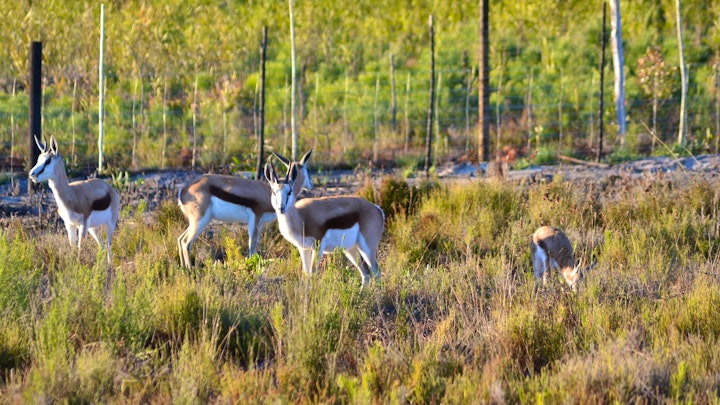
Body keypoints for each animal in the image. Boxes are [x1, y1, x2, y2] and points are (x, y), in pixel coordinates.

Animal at [28, 135, 120, 265]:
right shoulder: (69, 224)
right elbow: (72, 247)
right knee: (102, 245)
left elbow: (79, 248)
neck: (71, 195)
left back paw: (109, 266)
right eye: (38, 159)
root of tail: (111, 189)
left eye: (48, 161)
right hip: (93, 228)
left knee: (109, 244)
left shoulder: (83, 225)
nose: (32, 174)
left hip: (108, 225)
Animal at [177, 149, 313, 268]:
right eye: (274, 192)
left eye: (289, 191)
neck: (266, 192)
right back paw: (190, 270)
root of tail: (184, 190)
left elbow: (256, 243)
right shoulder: (255, 218)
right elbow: (252, 244)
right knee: (186, 242)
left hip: (196, 222)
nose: (311, 185)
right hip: (201, 220)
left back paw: (183, 268)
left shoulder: (260, 222)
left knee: (180, 239)